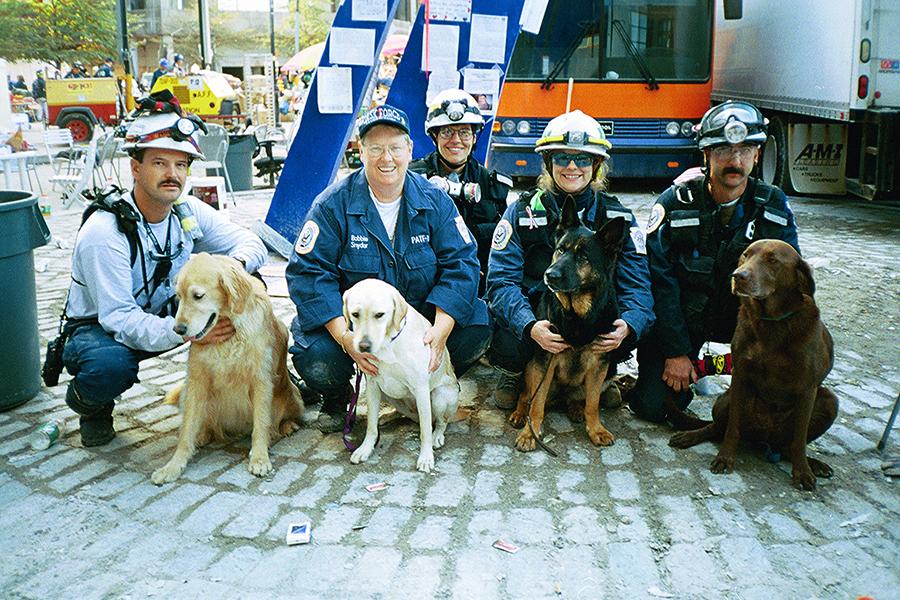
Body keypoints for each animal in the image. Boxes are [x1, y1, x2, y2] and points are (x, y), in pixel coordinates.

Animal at [510, 197, 628, 450]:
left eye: (583, 257)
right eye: (561, 249)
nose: (549, 275)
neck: (577, 315)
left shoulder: (599, 365)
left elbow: (593, 404)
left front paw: (595, 429)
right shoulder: (545, 361)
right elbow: (536, 405)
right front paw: (529, 434)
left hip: (605, 374)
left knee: (579, 400)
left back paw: (575, 409)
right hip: (532, 367)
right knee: (527, 397)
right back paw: (520, 413)